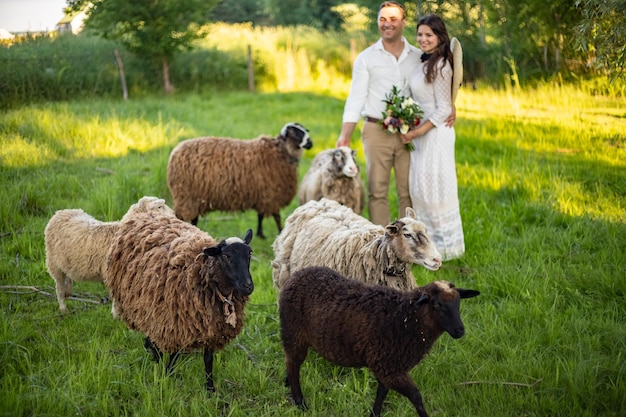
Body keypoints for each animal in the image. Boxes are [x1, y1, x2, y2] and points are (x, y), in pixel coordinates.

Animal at [43, 197, 173, 314]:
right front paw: (116, 315)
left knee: (68, 277)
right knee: (59, 288)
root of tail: (60, 213)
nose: (173, 214)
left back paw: (68, 291)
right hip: (53, 264)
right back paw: (63, 309)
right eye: (160, 207)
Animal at [105, 211, 254, 394]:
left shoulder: (211, 326)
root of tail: (145, 213)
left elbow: (208, 359)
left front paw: (210, 389)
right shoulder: (175, 322)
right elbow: (174, 354)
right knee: (152, 338)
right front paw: (167, 375)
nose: (248, 286)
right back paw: (155, 356)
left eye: (249, 254)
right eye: (226, 256)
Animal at [166, 122, 312, 239]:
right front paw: (280, 232)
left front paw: (260, 234)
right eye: (295, 132)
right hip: (185, 196)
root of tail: (174, 154)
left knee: (193, 217)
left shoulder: (263, 194)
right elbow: (276, 217)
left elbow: (260, 215)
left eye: (304, 130)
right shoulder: (271, 194)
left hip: (193, 198)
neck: (282, 152)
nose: (311, 143)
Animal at [276, 266, 478, 416]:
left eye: (458, 303)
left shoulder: (387, 366)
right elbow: (416, 397)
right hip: (293, 334)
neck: (406, 317)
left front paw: (375, 414)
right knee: (293, 366)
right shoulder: (390, 367)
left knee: (290, 364)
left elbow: (382, 393)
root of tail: (296, 275)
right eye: (436, 305)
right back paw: (301, 404)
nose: (460, 330)